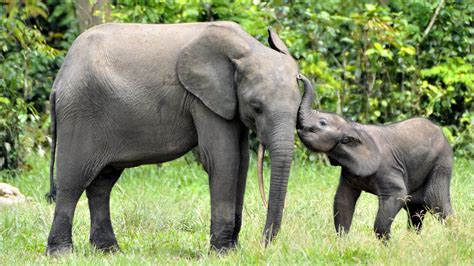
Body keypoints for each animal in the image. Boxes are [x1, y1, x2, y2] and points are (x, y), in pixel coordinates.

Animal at [46, 21, 302, 255]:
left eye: (299, 106)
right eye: (257, 107)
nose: (264, 243)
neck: (248, 48)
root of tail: (59, 79)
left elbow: (241, 162)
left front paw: (232, 251)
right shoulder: (203, 99)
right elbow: (222, 159)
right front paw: (221, 253)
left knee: (102, 184)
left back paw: (109, 251)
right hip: (79, 112)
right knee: (72, 181)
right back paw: (62, 253)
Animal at [296, 74, 452, 239]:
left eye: (322, 122)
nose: (299, 76)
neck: (353, 126)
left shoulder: (387, 169)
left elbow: (397, 196)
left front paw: (387, 243)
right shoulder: (349, 171)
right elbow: (343, 200)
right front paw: (342, 241)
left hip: (441, 164)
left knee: (436, 202)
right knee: (415, 209)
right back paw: (413, 240)